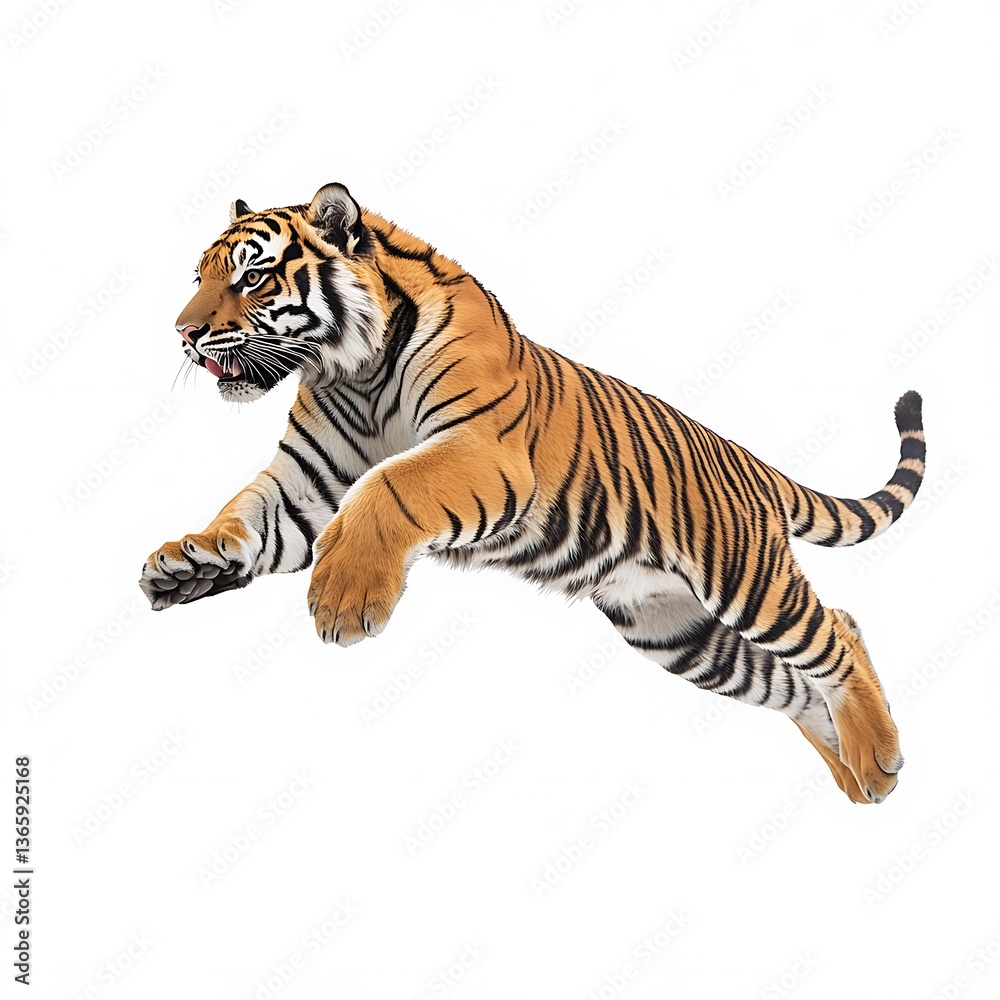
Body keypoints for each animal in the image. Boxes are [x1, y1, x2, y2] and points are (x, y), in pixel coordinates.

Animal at [140, 182, 926, 805]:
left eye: (254, 277)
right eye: (199, 276)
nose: (183, 332)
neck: (352, 369)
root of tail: (747, 459)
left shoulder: (485, 454)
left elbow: (391, 483)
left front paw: (345, 599)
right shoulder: (306, 484)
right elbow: (245, 515)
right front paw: (186, 561)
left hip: (744, 577)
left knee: (834, 634)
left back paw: (880, 753)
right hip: (677, 633)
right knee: (799, 676)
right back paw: (865, 775)